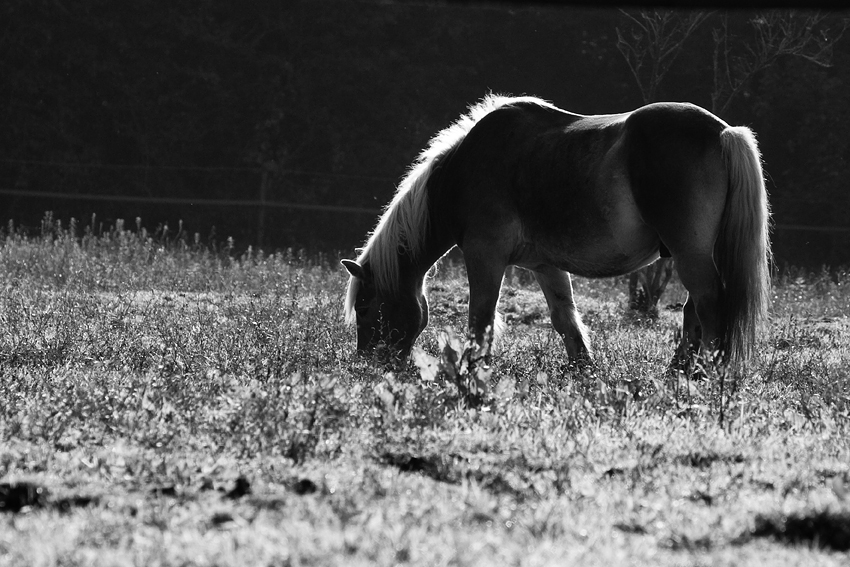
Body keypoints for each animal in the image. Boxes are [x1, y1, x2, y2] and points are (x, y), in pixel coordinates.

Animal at [342, 93, 772, 368]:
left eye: (365, 306)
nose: (367, 364)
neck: (465, 170)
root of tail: (723, 132)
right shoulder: (545, 266)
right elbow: (566, 320)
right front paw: (584, 372)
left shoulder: (485, 255)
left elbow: (481, 319)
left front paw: (470, 373)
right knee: (693, 311)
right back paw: (679, 373)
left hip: (690, 254)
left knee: (709, 306)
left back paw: (705, 375)